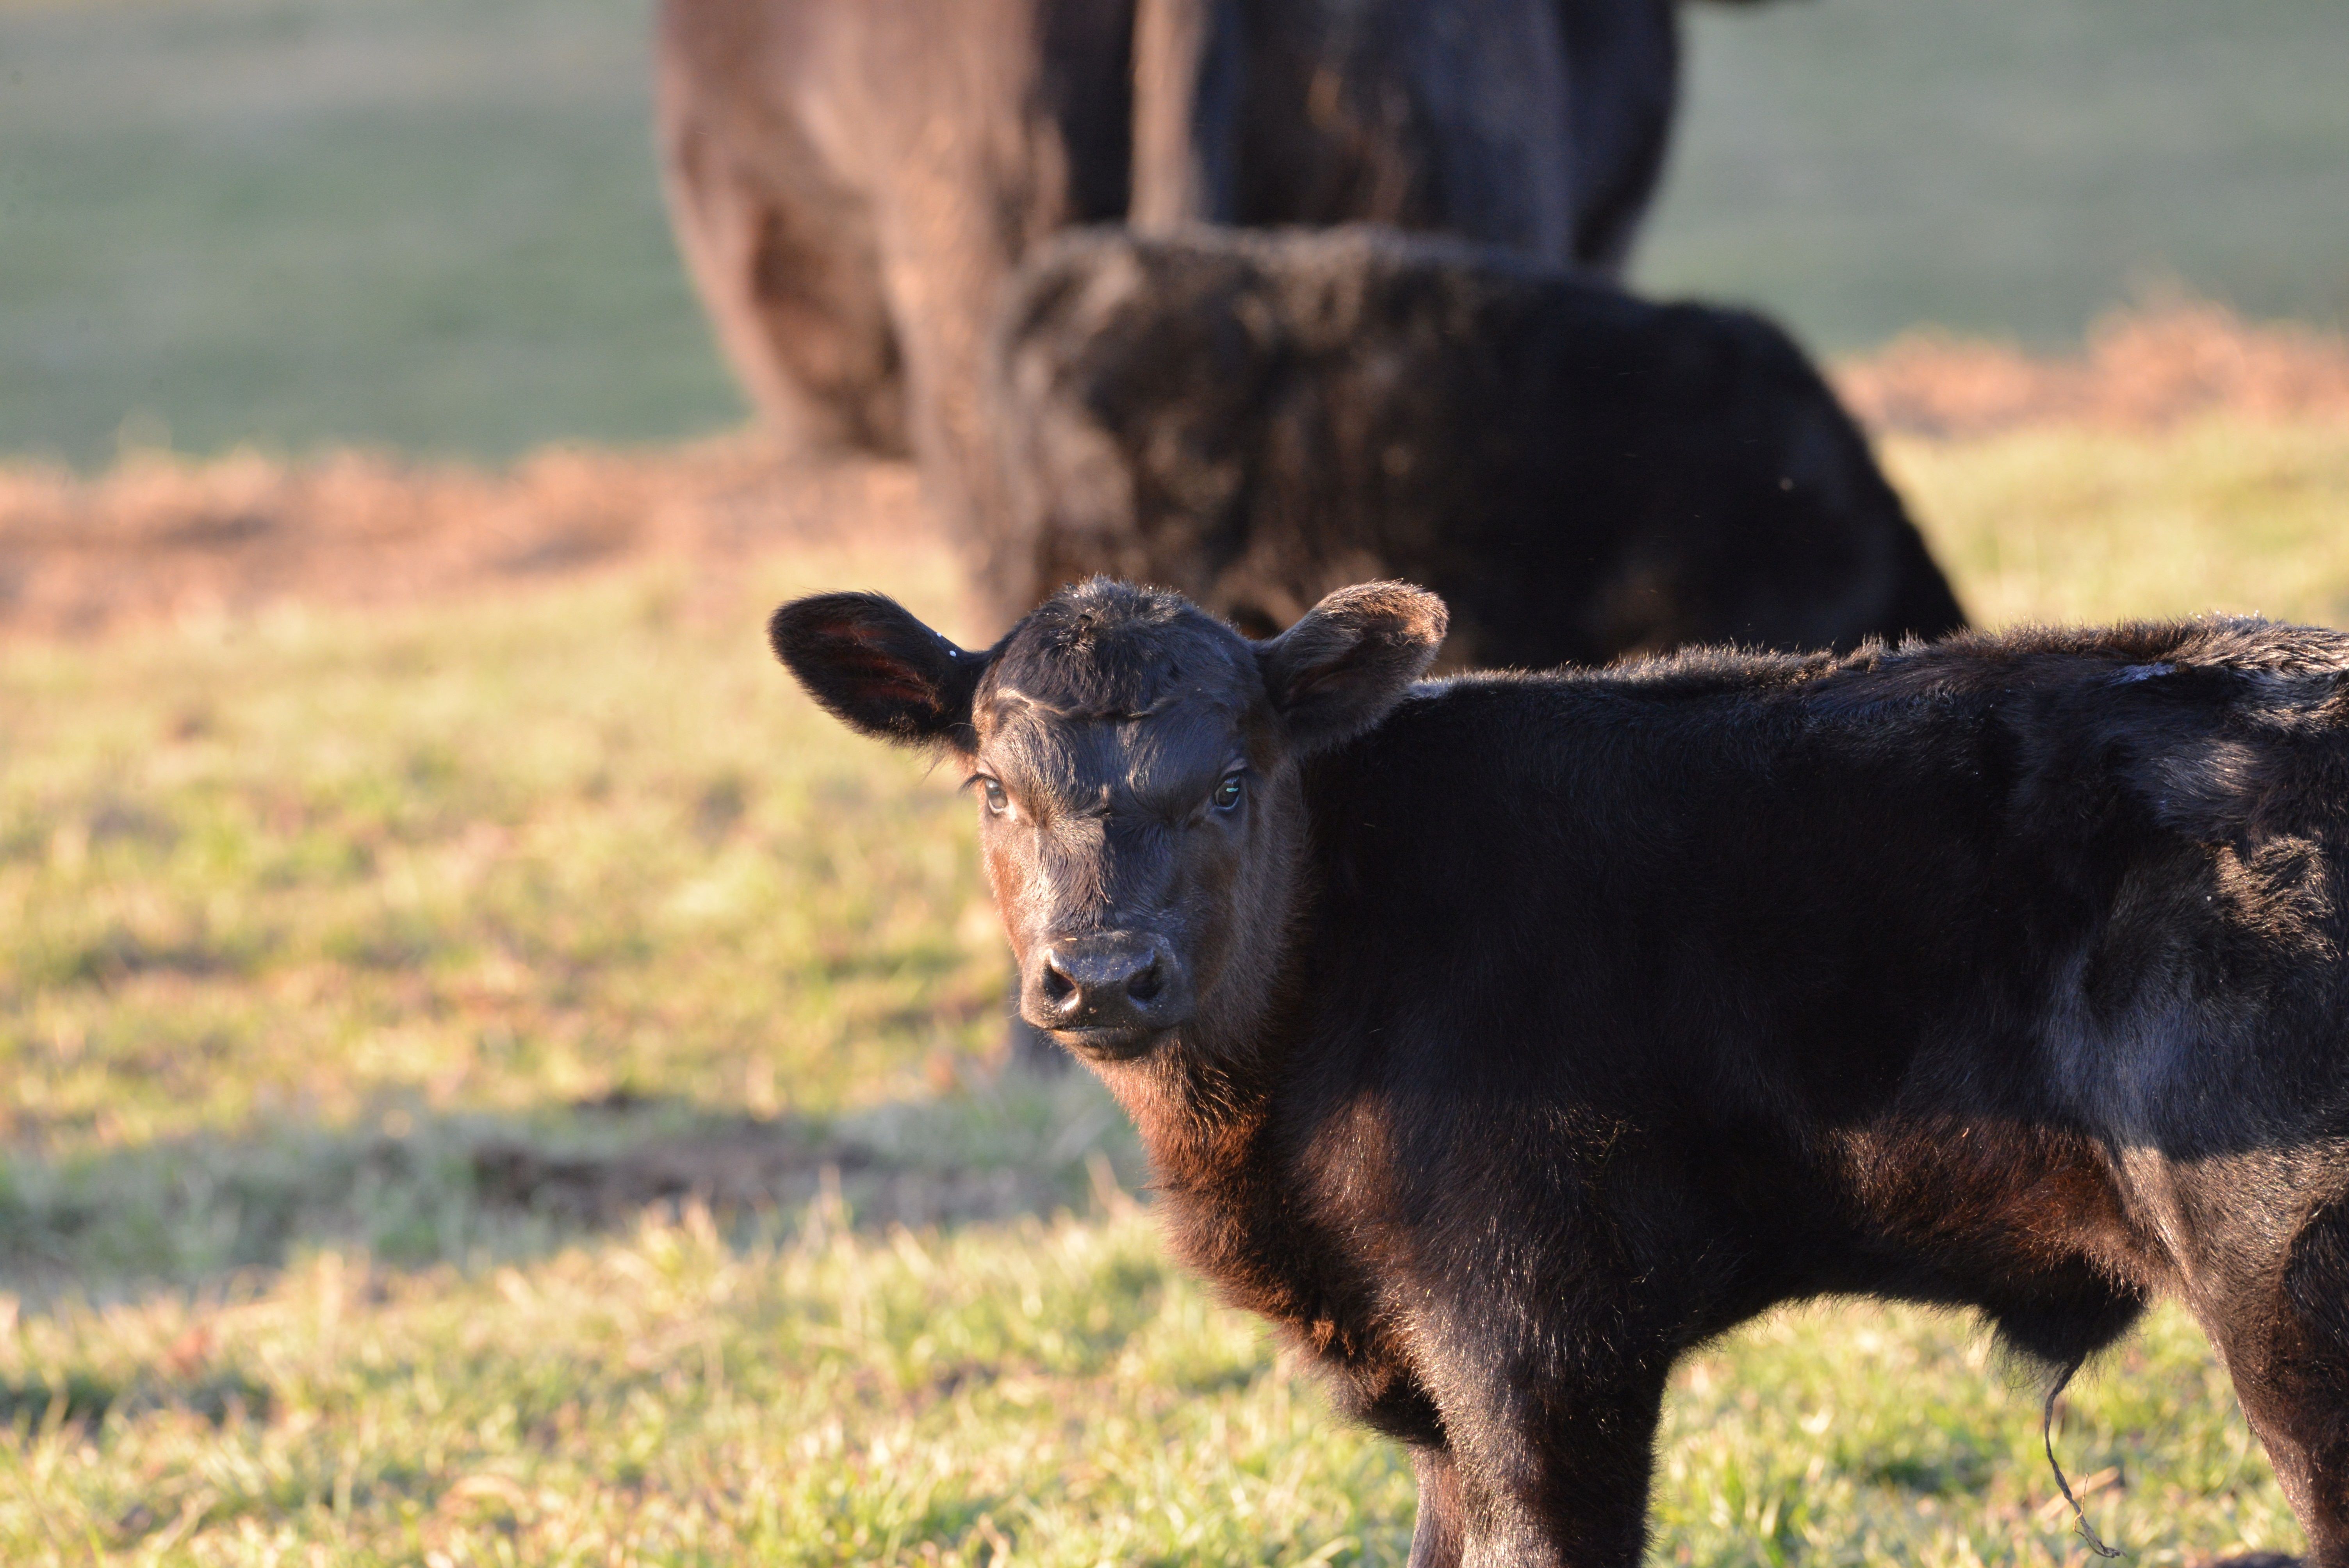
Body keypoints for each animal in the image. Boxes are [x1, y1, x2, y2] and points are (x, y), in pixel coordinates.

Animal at [780, 579, 2349, 1568]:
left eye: (1228, 783)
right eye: (992, 788)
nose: (1101, 975)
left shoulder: (1538, 1331)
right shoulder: (1432, 1379)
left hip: (2284, 1278)